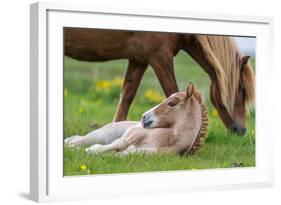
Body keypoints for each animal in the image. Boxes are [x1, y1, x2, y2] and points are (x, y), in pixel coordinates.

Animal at [64, 82, 207, 155]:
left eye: (171, 103)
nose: (144, 117)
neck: (166, 139)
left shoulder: (139, 153)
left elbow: (121, 152)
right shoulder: (129, 136)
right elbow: (116, 144)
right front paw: (91, 150)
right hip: (100, 135)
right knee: (78, 140)